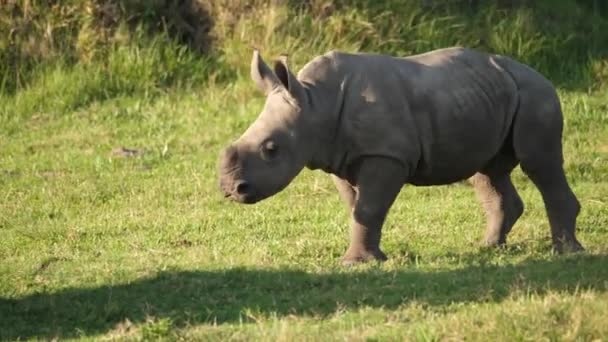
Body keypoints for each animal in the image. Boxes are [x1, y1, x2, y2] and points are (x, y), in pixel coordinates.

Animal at [218, 46, 584, 264]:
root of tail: (539, 74)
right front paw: (370, 257)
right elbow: (357, 207)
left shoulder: (386, 155)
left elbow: (370, 206)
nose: (231, 190)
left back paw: (566, 252)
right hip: (486, 97)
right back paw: (489, 247)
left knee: (539, 162)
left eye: (271, 149)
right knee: (487, 171)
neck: (314, 103)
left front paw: (356, 263)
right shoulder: (339, 155)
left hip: (536, 95)